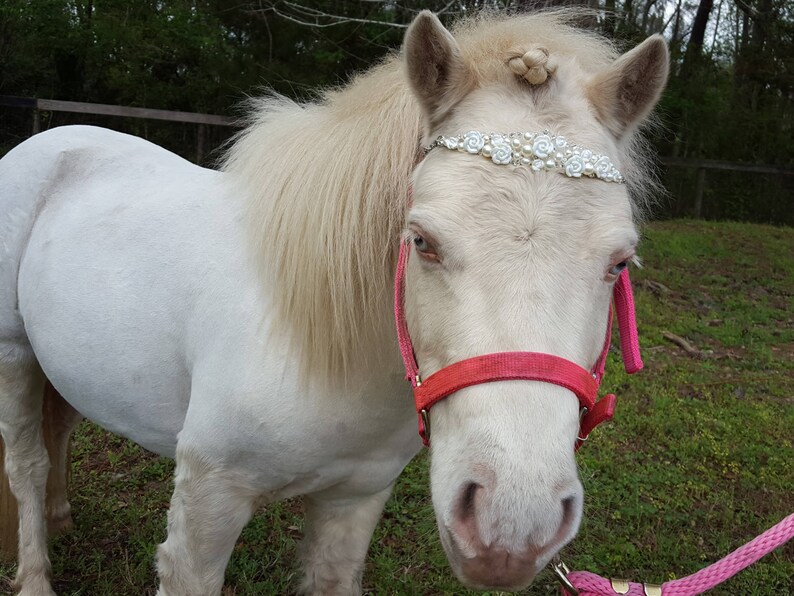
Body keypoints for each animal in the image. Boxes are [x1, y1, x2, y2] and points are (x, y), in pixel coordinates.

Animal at [0, 10, 668, 595]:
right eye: (421, 241)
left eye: (619, 262)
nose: (511, 526)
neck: (321, 346)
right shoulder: (206, 506)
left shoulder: (355, 500)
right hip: (14, 356)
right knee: (28, 464)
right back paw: (35, 575)